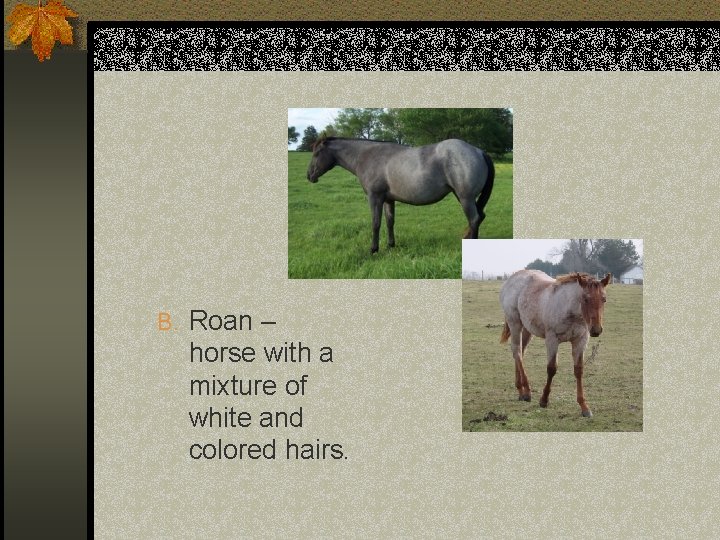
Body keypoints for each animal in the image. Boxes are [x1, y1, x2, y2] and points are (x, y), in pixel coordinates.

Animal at [306, 136, 495, 254]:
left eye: (316, 153)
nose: (309, 176)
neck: (368, 156)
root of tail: (478, 151)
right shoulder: (388, 200)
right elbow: (390, 222)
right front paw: (391, 245)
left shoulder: (374, 198)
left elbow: (376, 223)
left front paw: (374, 250)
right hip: (463, 197)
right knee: (479, 217)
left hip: (465, 198)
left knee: (474, 219)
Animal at [499, 269, 612, 417]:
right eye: (585, 299)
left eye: (604, 299)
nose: (596, 330)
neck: (570, 311)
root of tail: (513, 277)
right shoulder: (552, 339)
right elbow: (552, 368)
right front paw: (544, 400)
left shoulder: (580, 340)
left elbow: (579, 370)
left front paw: (584, 407)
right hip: (515, 324)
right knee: (517, 352)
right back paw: (527, 391)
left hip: (527, 329)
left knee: (520, 353)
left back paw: (521, 391)